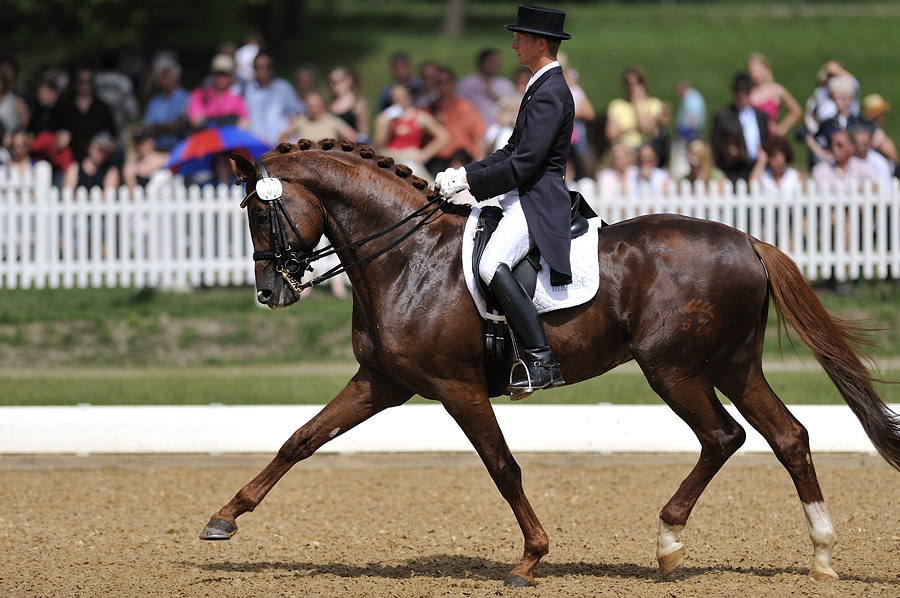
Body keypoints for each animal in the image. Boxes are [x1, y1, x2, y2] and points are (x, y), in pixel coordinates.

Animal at [200, 138, 900, 587]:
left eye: (260, 211)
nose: (271, 293)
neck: (404, 258)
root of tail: (749, 241)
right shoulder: (383, 382)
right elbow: (300, 439)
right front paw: (224, 518)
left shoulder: (455, 387)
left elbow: (503, 467)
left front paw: (530, 559)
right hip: (732, 366)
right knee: (789, 436)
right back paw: (822, 556)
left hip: (672, 369)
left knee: (723, 436)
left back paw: (670, 544)